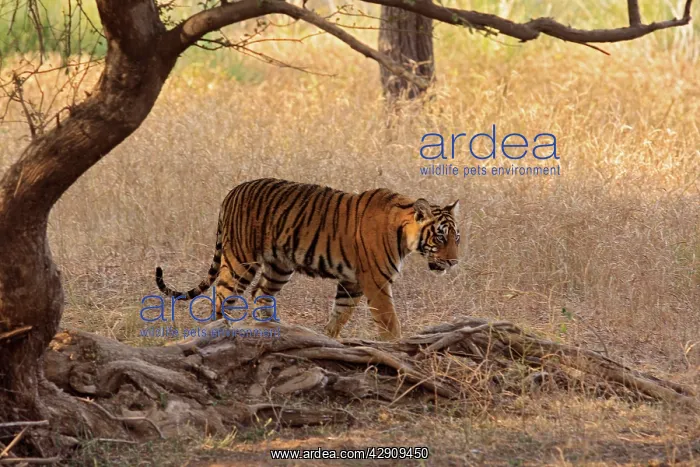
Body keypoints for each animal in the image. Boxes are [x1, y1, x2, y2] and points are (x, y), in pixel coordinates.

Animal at [155, 178, 460, 340]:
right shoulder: (376, 283)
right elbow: (389, 321)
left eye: (456, 238)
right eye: (440, 237)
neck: (403, 233)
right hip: (241, 260)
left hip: (279, 267)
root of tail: (232, 191)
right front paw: (397, 345)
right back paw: (218, 331)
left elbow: (339, 314)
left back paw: (270, 327)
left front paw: (327, 339)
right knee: (222, 296)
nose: (453, 262)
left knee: (260, 294)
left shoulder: (352, 283)